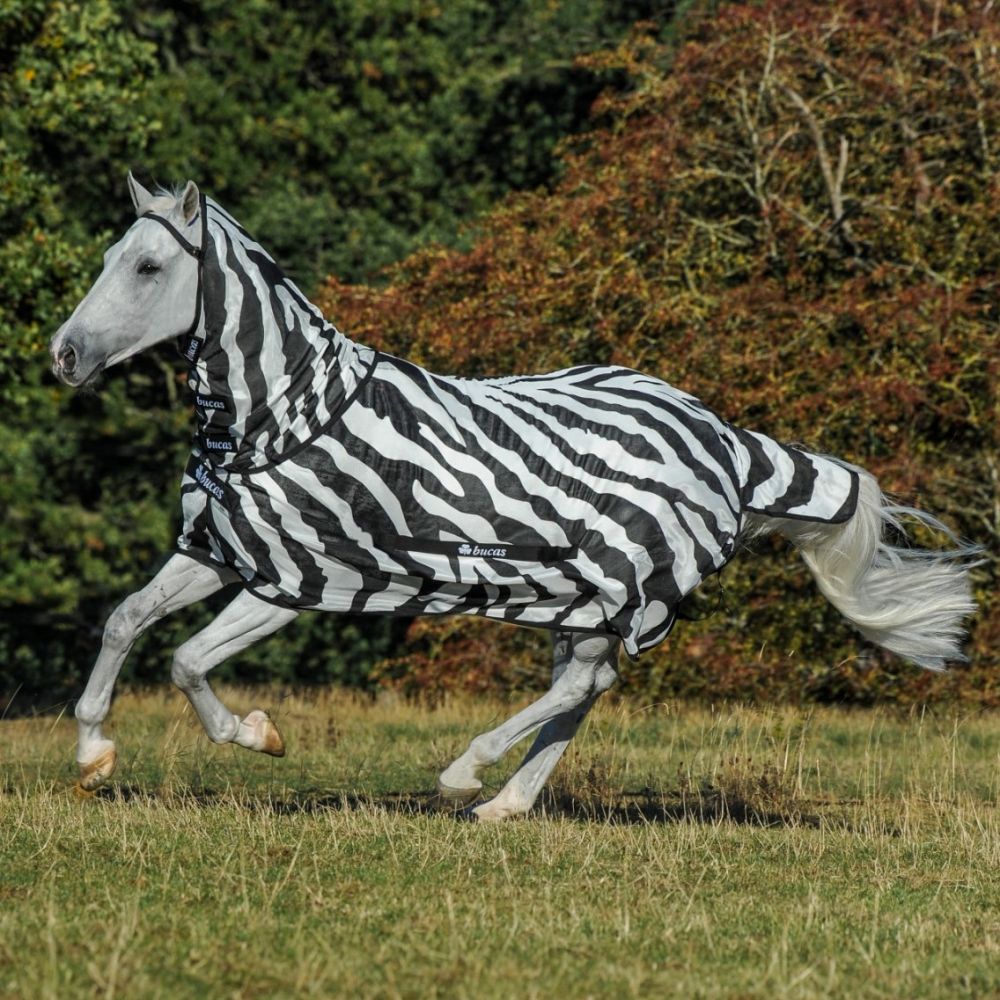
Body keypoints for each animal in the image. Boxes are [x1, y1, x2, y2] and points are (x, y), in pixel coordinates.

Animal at [49, 175, 978, 820]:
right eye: (107, 259)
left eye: (148, 266)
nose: (64, 355)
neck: (279, 414)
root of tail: (726, 439)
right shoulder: (217, 553)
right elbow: (126, 623)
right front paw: (94, 754)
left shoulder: (297, 578)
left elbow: (185, 659)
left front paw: (257, 735)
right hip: (585, 597)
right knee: (588, 687)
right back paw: (505, 803)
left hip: (620, 585)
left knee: (580, 685)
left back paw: (466, 775)